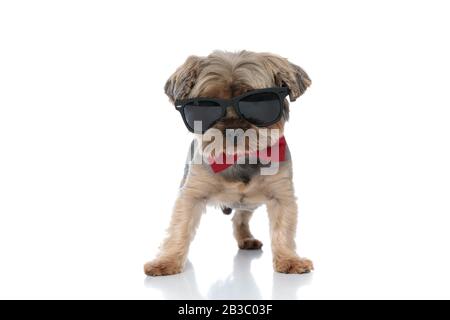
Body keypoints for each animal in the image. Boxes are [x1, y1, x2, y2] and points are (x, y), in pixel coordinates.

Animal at [144, 50, 312, 276]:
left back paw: (246, 239)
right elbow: (179, 226)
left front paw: (290, 260)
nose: (233, 129)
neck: (238, 158)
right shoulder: (191, 193)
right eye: (204, 106)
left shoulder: (281, 194)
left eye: (258, 102)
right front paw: (166, 261)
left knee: (240, 218)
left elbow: (283, 229)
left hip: (249, 202)